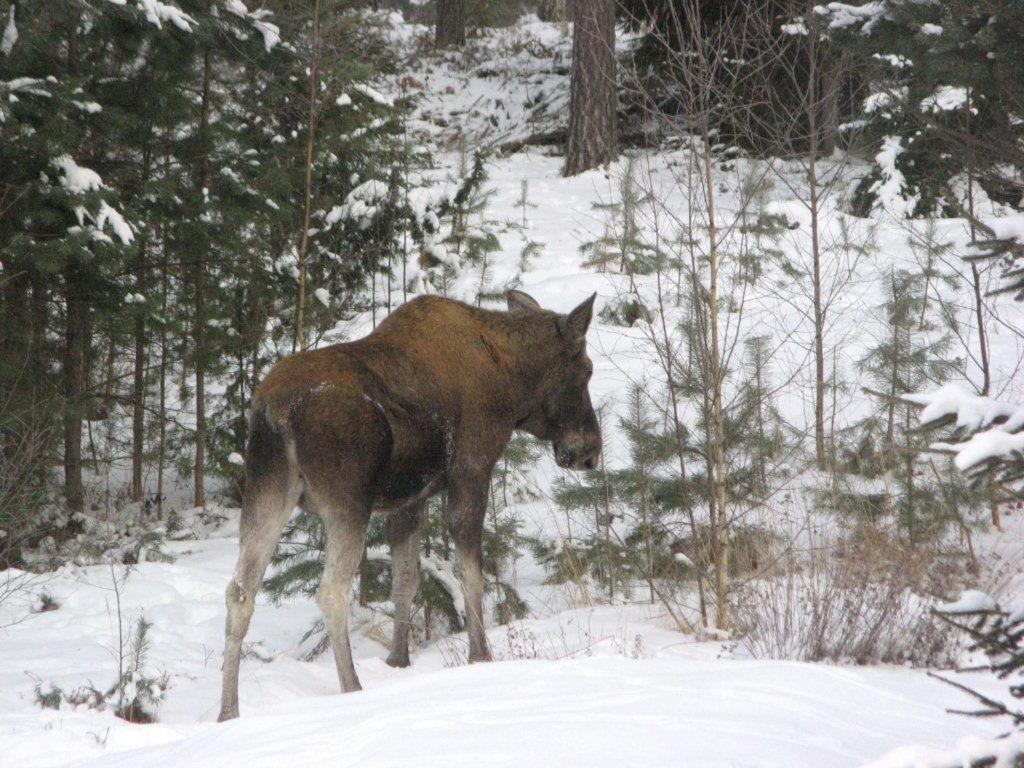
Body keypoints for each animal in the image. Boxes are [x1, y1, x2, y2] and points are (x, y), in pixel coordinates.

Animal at [217, 290, 598, 720]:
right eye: (586, 370)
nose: (590, 452)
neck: (512, 386)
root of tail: (275, 412)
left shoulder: (407, 501)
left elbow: (405, 580)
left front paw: (398, 660)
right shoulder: (471, 469)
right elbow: (470, 575)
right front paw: (480, 656)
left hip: (266, 493)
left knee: (239, 593)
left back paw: (228, 711)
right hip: (347, 503)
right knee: (330, 592)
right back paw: (351, 686)